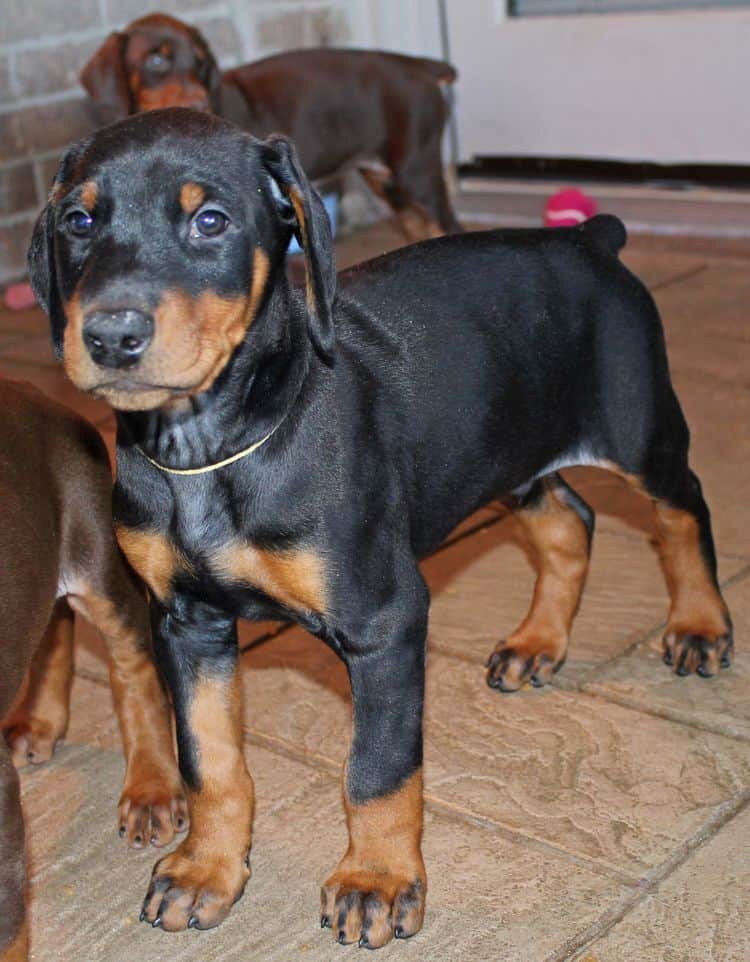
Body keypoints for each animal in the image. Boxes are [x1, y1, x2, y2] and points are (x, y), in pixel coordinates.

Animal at [27, 110, 736, 944]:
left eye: (211, 221)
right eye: (78, 221)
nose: (111, 336)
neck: (208, 451)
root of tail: (594, 240)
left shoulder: (386, 620)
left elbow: (378, 769)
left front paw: (377, 881)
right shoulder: (186, 623)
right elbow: (210, 760)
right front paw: (206, 868)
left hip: (637, 428)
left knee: (682, 510)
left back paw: (700, 624)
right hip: (505, 453)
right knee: (570, 521)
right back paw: (539, 642)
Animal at [81, 12, 458, 240]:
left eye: (201, 64)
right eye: (156, 61)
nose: (201, 103)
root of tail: (419, 66)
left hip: (417, 169)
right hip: (386, 178)